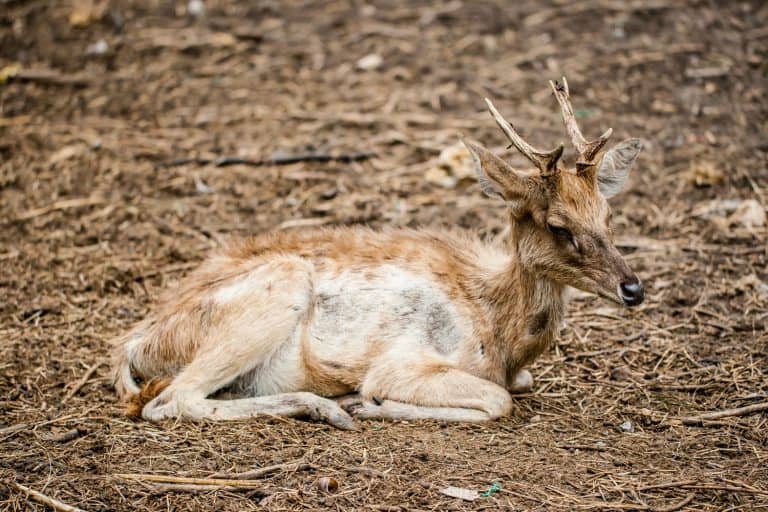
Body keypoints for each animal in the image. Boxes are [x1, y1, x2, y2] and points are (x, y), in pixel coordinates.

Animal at [111, 78, 644, 430]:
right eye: (558, 226)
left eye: (608, 215)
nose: (633, 288)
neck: (498, 331)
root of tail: (137, 343)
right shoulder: (404, 361)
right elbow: (497, 401)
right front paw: (369, 402)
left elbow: (517, 388)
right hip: (277, 287)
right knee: (171, 400)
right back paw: (329, 407)